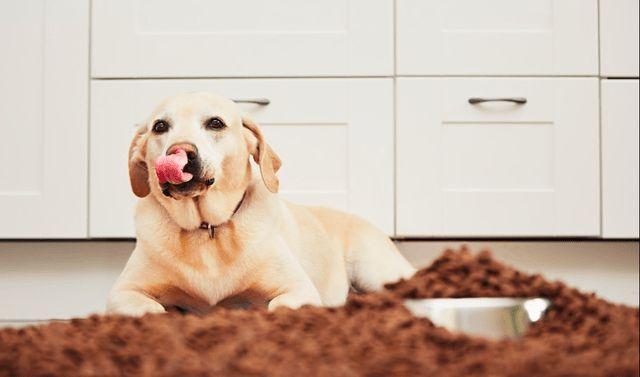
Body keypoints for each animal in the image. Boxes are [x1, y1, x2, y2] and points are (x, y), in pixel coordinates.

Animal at [106, 92, 416, 314]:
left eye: (215, 123)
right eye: (160, 127)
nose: (179, 152)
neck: (208, 229)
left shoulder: (298, 290)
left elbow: (276, 306)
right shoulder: (122, 293)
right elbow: (152, 309)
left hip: (377, 270)